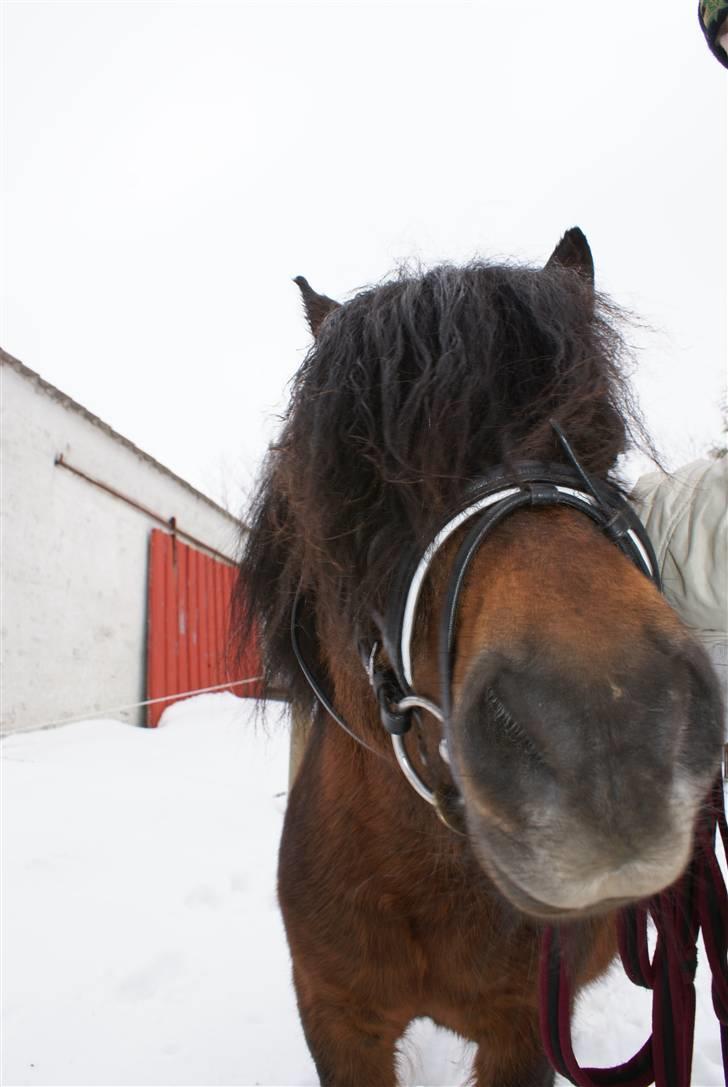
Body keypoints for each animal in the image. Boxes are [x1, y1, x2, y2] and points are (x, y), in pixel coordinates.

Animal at [236, 225, 725, 1082]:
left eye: (606, 443)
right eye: (366, 480)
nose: (614, 740)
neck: (419, 878)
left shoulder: (522, 1031)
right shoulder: (337, 1019)